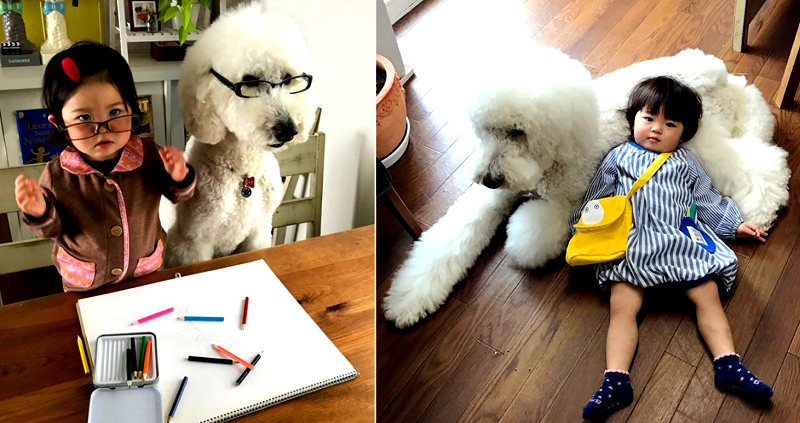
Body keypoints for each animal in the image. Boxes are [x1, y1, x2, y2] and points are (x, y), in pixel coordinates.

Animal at [162, 1, 316, 268]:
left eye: (288, 78)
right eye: (250, 81)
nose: (288, 130)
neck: (244, 173)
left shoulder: (259, 231)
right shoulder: (193, 244)